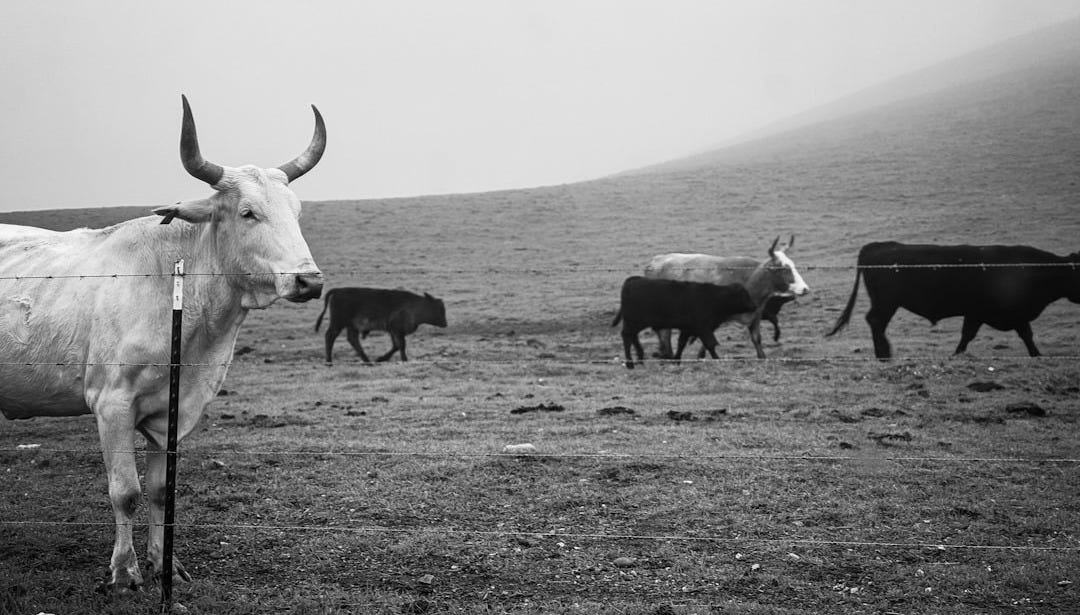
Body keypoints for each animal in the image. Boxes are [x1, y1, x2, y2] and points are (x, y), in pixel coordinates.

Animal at [0, 95, 325, 591]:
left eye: (298, 212)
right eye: (248, 212)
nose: (309, 280)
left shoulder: (171, 409)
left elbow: (158, 490)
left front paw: (163, 563)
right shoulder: (111, 404)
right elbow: (126, 491)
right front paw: (124, 571)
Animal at [315, 287, 448, 364]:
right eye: (437, 308)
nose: (445, 323)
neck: (415, 305)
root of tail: (337, 291)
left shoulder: (393, 331)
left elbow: (396, 346)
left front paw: (381, 358)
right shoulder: (397, 331)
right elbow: (401, 345)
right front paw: (404, 359)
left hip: (351, 326)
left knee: (353, 340)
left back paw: (367, 361)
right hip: (338, 323)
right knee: (330, 336)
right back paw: (329, 361)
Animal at [612, 276, 757, 368]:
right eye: (744, 295)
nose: (754, 306)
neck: (713, 298)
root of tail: (633, 279)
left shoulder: (688, 328)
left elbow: (681, 343)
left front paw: (676, 360)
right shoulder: (703, 328)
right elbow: (710, 344)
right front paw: (717, 360)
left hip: (635, 323)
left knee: (632, 337)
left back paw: (640, 359)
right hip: (633, 322)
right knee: (627, 337)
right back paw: (630, 363)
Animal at [644, 236, 810, 359]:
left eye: (793, 265)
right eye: (783, 269)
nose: (805, 289)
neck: (748, 280)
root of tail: (655, 261)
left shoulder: (756, 315)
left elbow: (757, 339)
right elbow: (707, 340)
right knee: (664, 333)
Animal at [825, 241, 1080, 358]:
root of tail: (879, 245)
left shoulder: (998, 314)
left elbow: (1025, 335)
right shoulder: (982, 312)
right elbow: (969, 335)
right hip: (887, 302)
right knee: (876, 321)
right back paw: (884, 353)